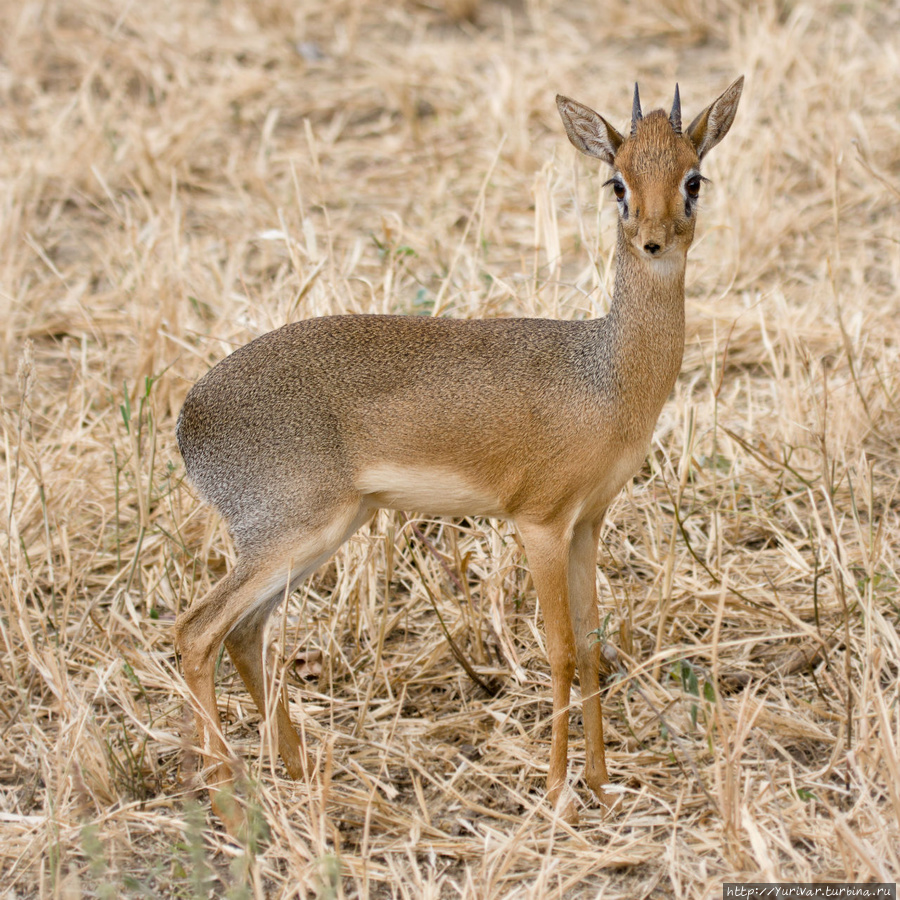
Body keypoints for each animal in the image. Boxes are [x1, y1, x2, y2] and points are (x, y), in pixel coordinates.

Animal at [176, 77, 744, 828]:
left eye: (693, 178)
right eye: (616, 181)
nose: (652, 242)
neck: (605, 376)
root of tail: (188, 418)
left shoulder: (588, 524)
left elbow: (594, 646)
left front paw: (600, 783)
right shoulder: (539, 523)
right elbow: (561, 653)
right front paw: (558, 792)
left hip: (323, 533)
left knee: (242, 633)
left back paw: (306, 778)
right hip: (291, 533)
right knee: (196, 632)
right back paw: (230, 801)